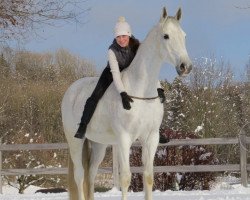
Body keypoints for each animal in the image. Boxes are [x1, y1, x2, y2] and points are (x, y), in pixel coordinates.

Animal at [61, 7, 192, 199]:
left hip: (99, 144)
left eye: (184, 35)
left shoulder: (151, 138)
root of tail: (71, 91)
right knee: (79, 176)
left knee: (90, 175)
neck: (141, 91)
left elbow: (148, 177)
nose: (185, 67)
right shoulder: (124, 139)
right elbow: (125, 178)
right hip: (75, 141)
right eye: (166, 36)